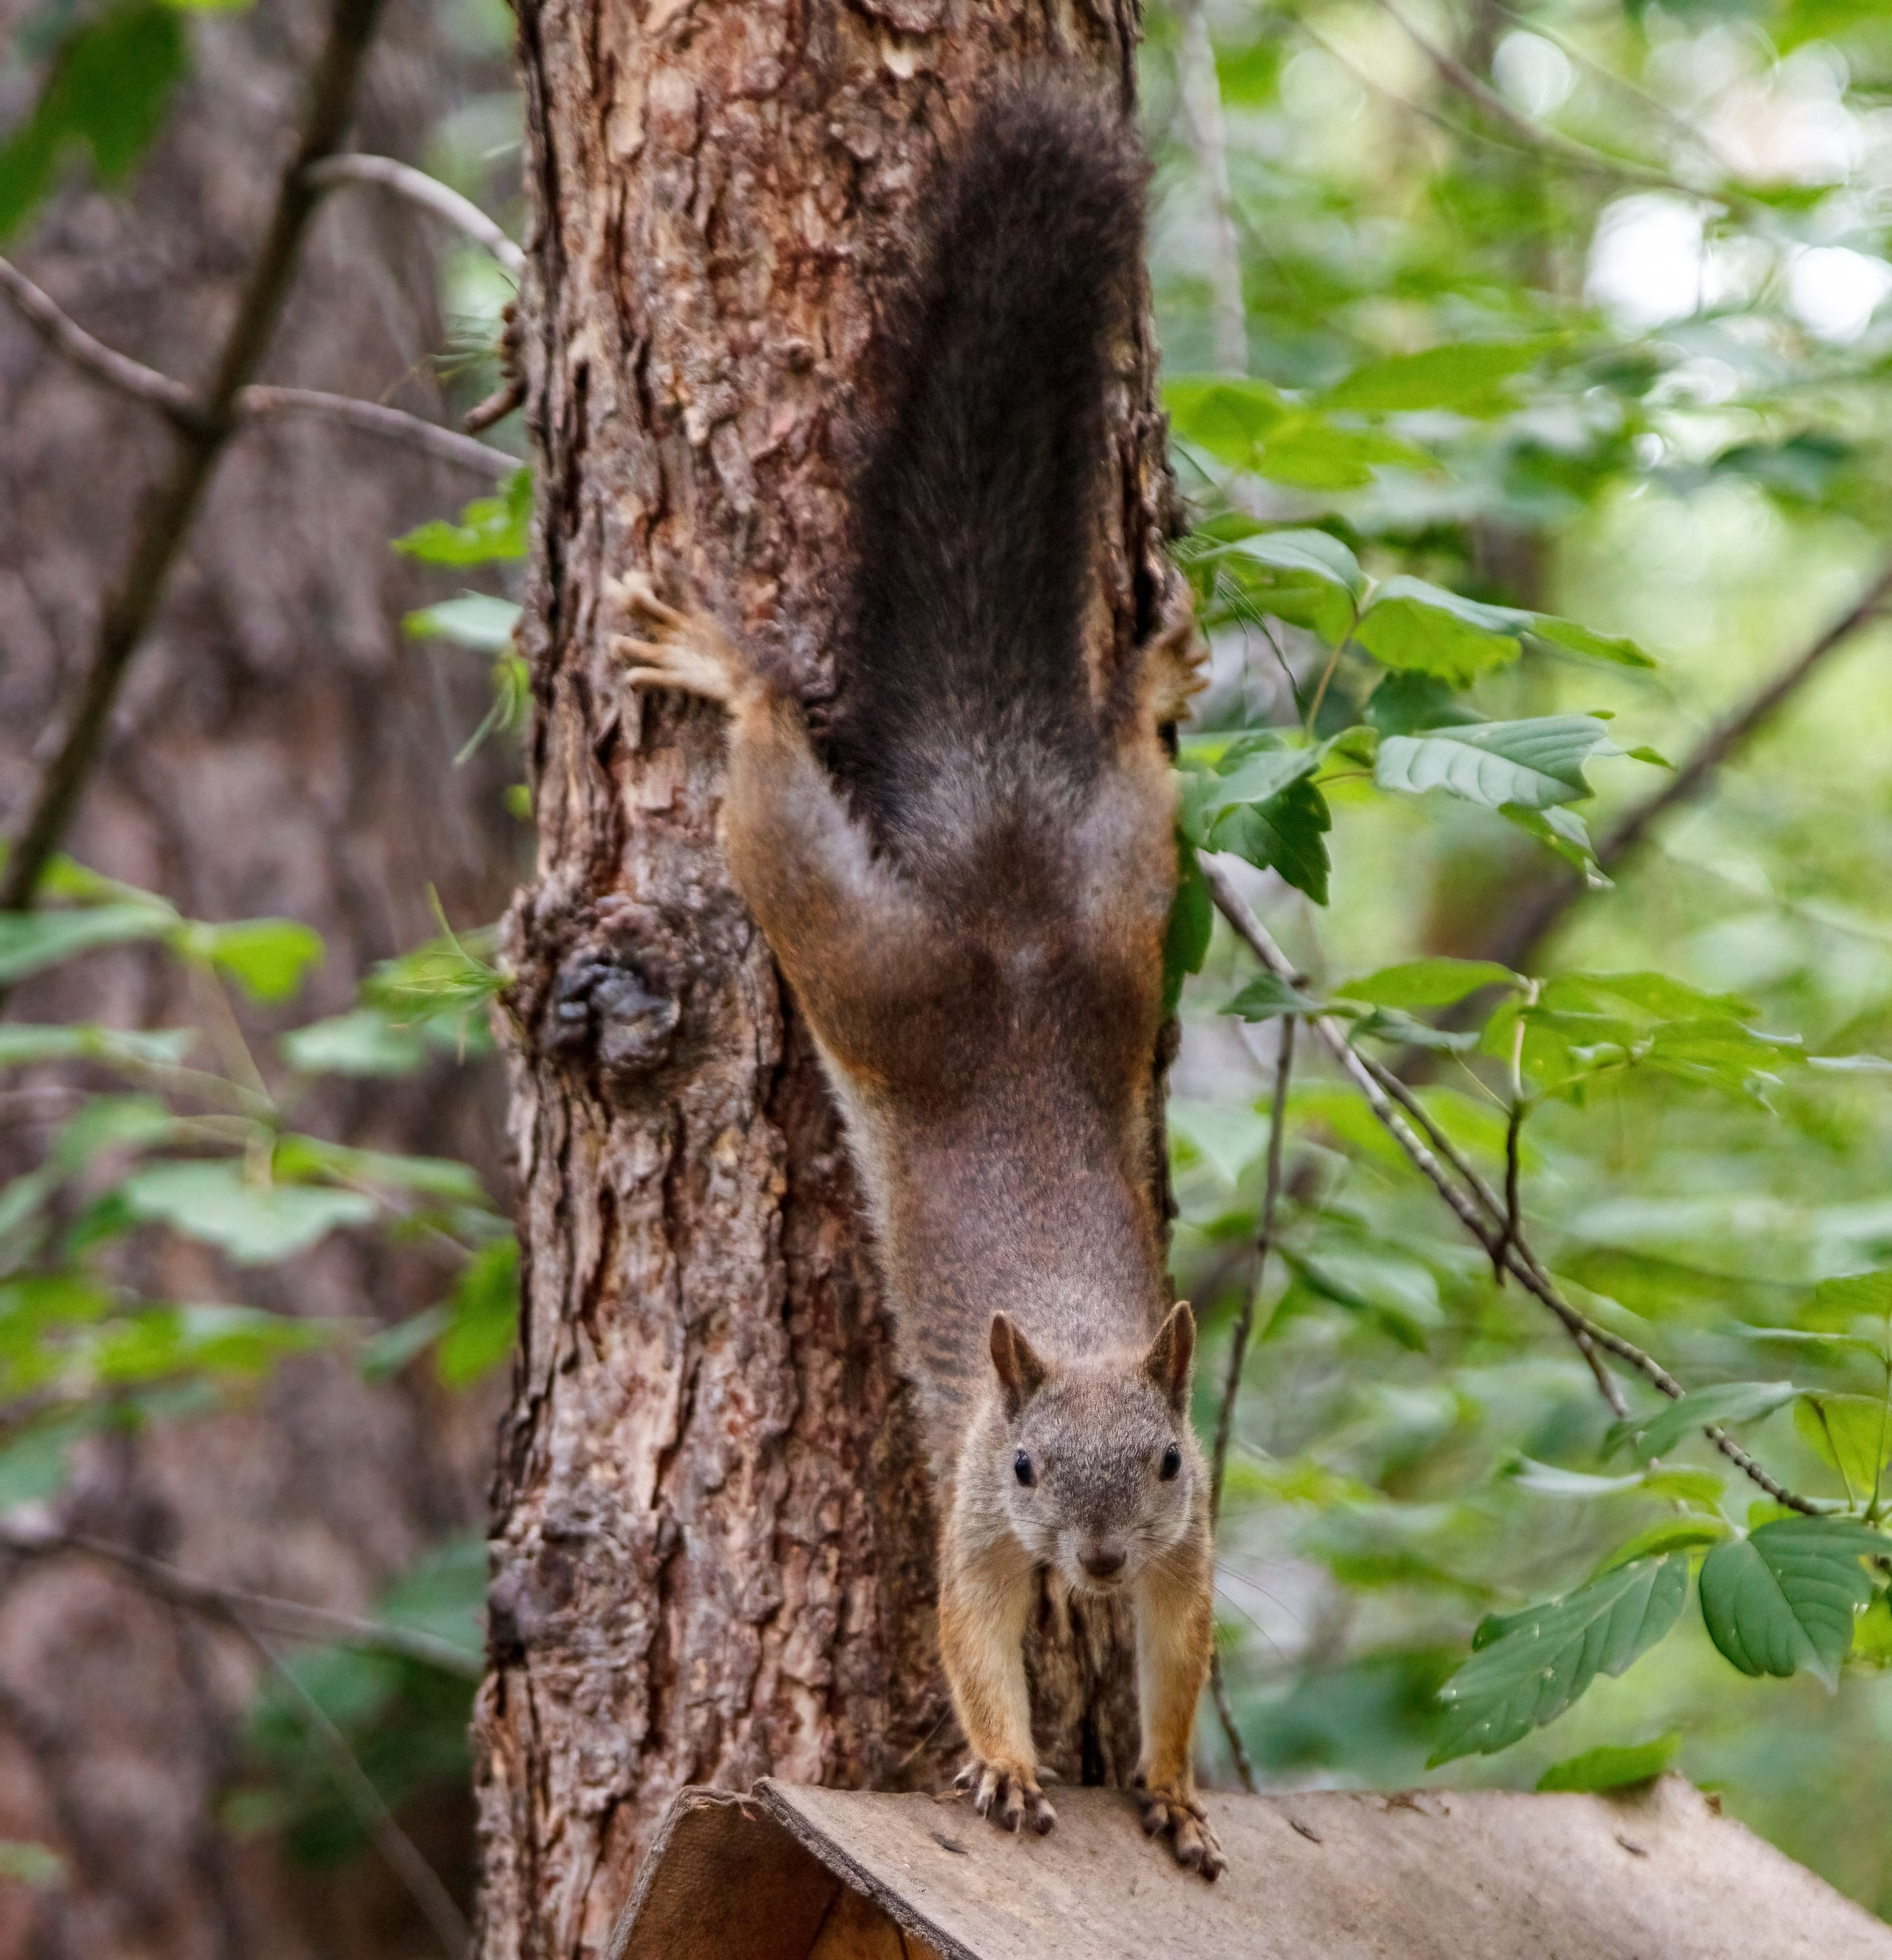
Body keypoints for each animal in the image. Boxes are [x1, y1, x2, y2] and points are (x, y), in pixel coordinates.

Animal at [612, 79, 1222, 1880]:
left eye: (1164, 1456)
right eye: (1024, 1461)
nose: (1091, 1564)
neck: (1079, 1331)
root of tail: (1002, 905)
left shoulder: (1192, 1534)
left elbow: (1178, 1649)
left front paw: (1168, 1784)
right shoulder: (965, 1504)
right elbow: (971, 1631)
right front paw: (1013, 1765)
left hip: (1122, 914)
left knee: (1131, 787)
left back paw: (1150, 681)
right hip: (855, 952)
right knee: (771, 785)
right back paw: (725, 666)